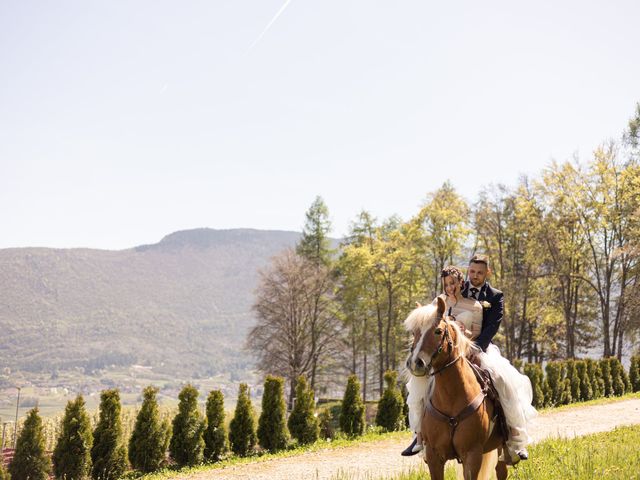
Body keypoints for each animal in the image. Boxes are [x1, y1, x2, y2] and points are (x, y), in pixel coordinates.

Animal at [402, 296, 508, 480]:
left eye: (437, 331)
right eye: (414, 332)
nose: (415, 363)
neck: (451, 397)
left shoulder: (472, 455)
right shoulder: (434, 457)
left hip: (500, 447)